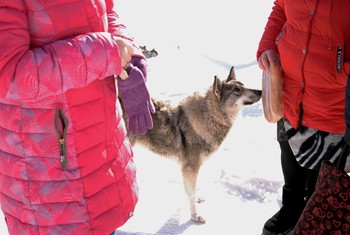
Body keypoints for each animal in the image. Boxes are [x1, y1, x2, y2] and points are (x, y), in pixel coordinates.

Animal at [124, 66, 262, 224]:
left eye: (243, 85)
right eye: (236, 90)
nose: (260, 91)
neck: (210, 117)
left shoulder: (194, 169)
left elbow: (194, 190)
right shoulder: (190, 168)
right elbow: (191, 195)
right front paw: (195, 216)